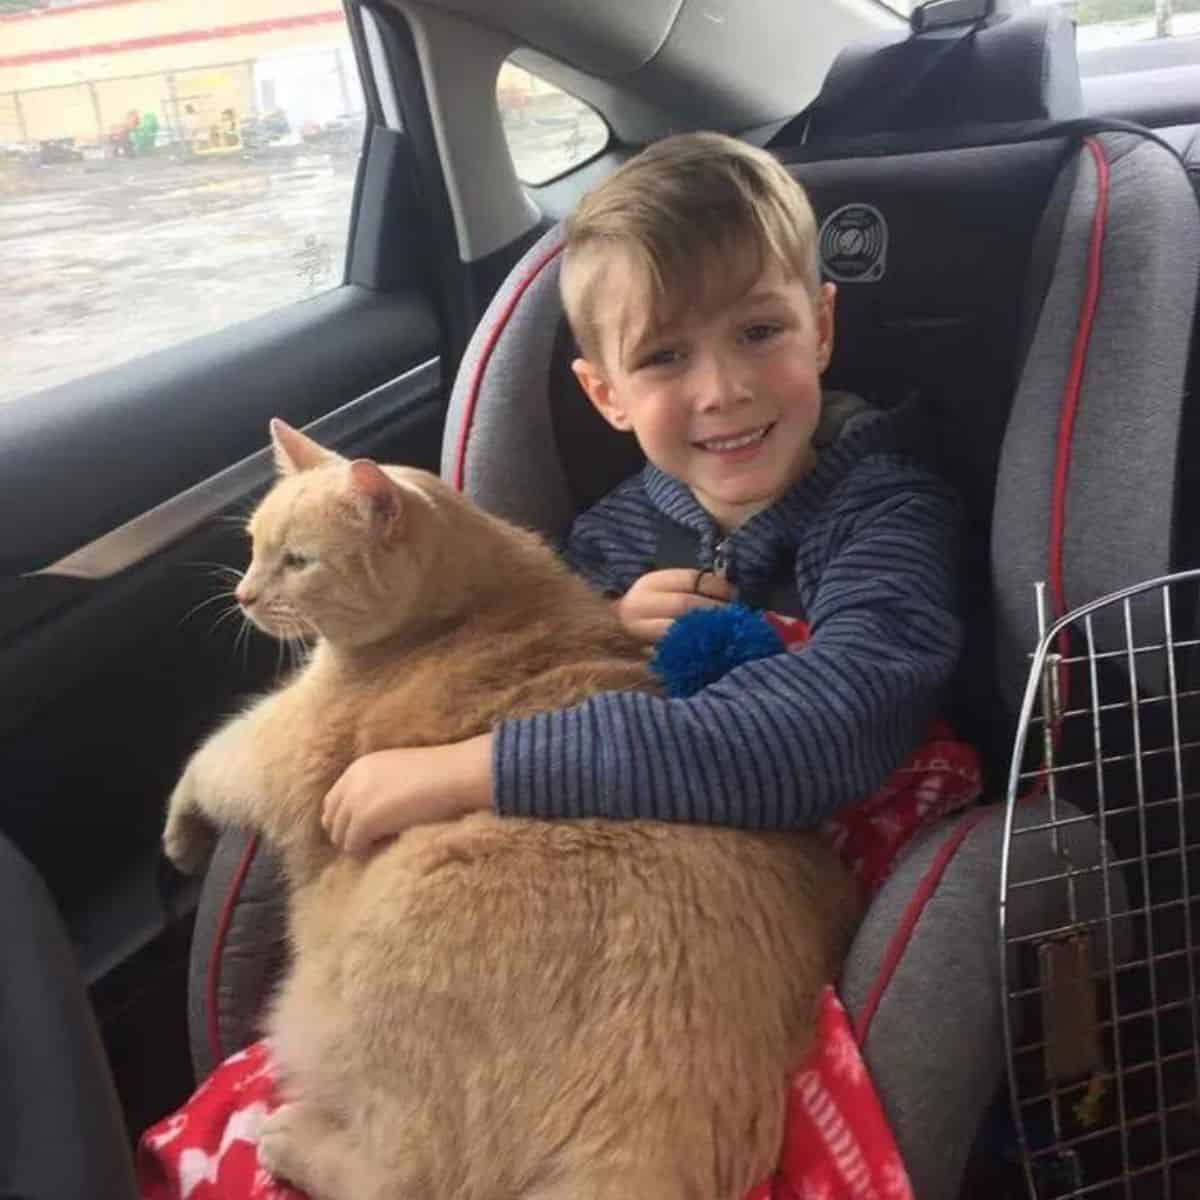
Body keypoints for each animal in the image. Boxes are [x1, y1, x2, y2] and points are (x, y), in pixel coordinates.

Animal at [166, 420, 864, 1200]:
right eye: (254, 546)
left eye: (297, 561)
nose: (245, 594)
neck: (470, 605)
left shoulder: (284, 744)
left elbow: (209, 758)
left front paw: (181, 835)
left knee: (410, 1173)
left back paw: (289, 1140)